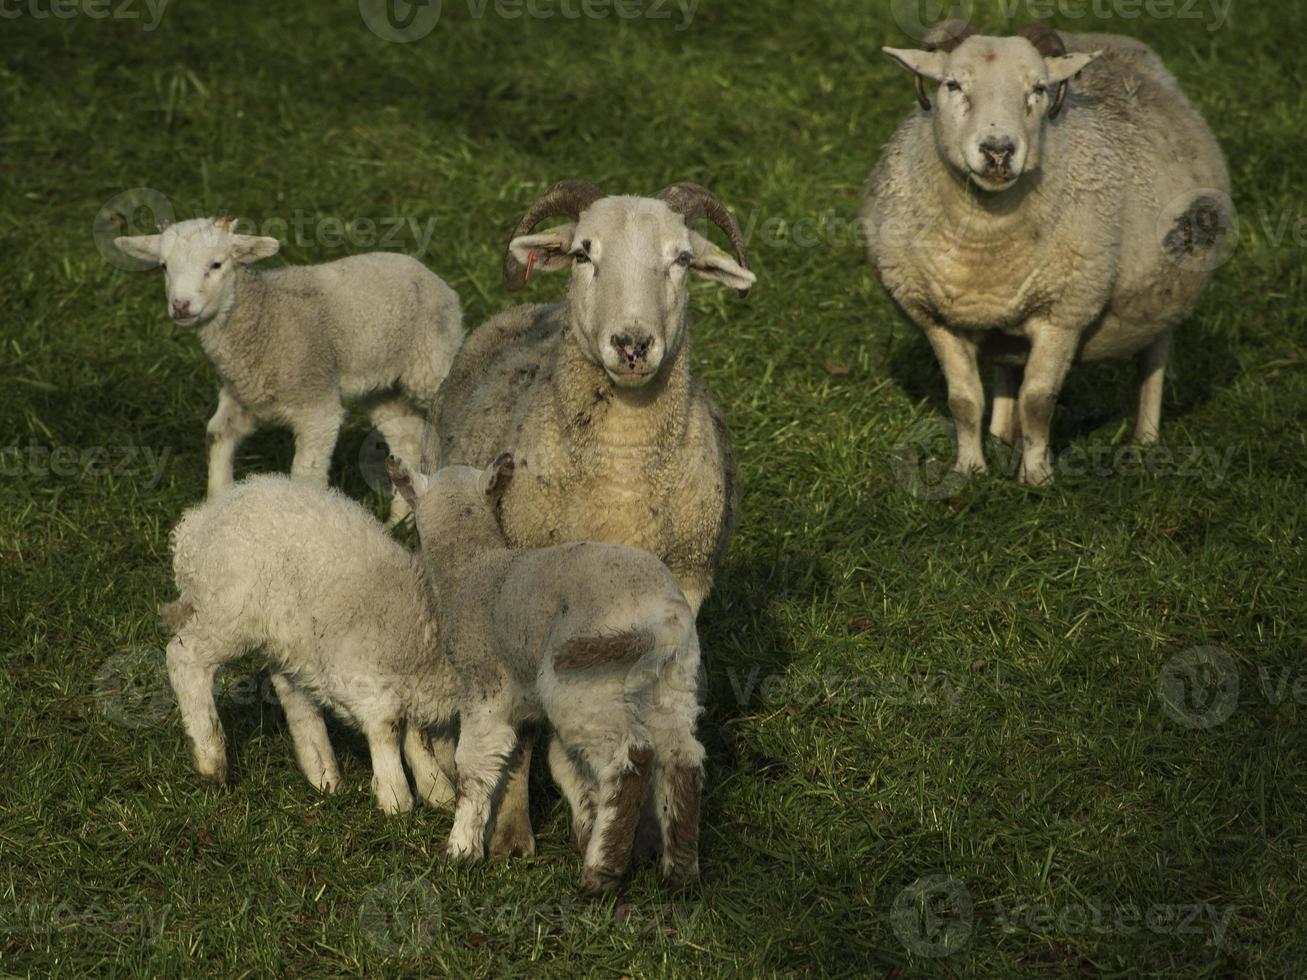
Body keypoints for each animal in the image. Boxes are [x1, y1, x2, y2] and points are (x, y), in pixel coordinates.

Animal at [116, 214, 465, 522]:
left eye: (216, 264)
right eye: (164, 266)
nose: (181, 306)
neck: (263, 314)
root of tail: (428, 273)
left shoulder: (316, 404)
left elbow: (305, 475)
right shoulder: (242, 396)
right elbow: (217, 435)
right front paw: (215, 507)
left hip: (432, 359)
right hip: (382, 384)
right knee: (406, 436)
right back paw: (400, 520)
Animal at [162, 475, 460, 815]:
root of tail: (197, 525)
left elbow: (416, 735)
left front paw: (436, 788)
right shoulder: (358, 673)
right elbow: (389, 726)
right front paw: (396, 798)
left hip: (289, 636)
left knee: (290, 689)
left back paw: (323, 772)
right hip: (231, 613)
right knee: (184, 657)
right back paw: (211, 759)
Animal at [386, 452, 711, 898]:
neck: (473, 569)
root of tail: (662, 619)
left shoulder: (484, 686)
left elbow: (474, 765)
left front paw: (461, 848)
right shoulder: (525, 703)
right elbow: (561, 765)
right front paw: (582, 828)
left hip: (585, 680)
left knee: (631, 757)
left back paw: (602, 872)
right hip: (673, 679)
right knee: (682, 758)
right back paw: (679, 869)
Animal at [423, 180, 758, 857]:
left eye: (682, 258)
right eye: (583, 253)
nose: (632, 344)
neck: (622, 474)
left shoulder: (686, 587)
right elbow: (522, 733)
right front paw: (511, 836)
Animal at [862, 21, 1228, 486]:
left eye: (1038, 88)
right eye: (952, 84)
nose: (998, 150)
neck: (985, 238)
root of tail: (1104, 36)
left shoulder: (1064, 312)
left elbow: (1037, 400)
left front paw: (1036, 478)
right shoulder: (937, 317)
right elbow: (964, 401)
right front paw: (970, 470)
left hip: (1164, 293)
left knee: (1154, 359)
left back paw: (1145, 440)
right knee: (1006, 367)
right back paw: (1001, 435)